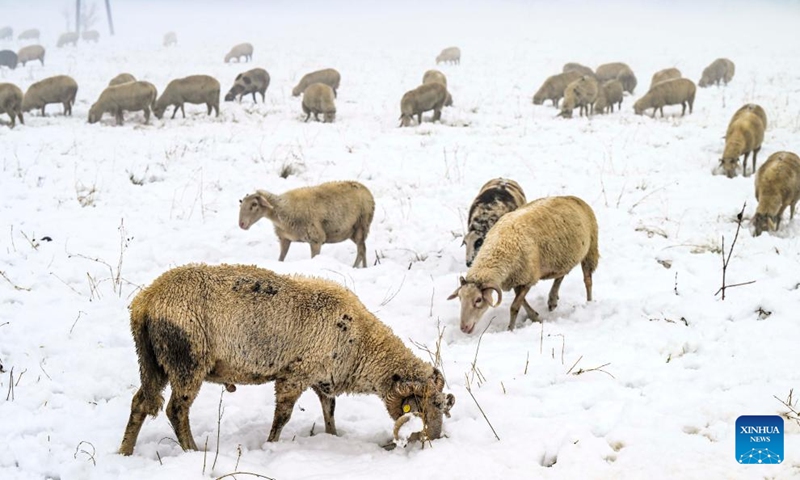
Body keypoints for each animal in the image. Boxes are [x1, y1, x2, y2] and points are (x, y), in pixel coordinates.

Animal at [119, 264, 456, 456]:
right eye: (425, 407)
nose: (434, 441)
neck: (363, 343)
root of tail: (146, 301)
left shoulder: (322, 378)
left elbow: (329, 411)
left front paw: (332, 437)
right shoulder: (294, 375)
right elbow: (283, 416)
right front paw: (271, 445)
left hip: (153, 362)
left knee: (140, 403)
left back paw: (125, 451)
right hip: (187, 360)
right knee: (176, 410)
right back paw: (191, 450)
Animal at [238, 181, 376, 270]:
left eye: (254, 204)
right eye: (241, 204)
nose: (241, 224)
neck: (281, 210)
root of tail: (366, 190)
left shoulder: (316, 239)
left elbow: (314, 258)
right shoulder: (285, 238)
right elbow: (281, 258)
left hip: (361, 225)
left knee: (361, 250)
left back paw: (355, 268)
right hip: (353, 231)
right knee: (363, 249)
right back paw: (364, 268)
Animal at [446, 195, 596, 334]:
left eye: (478, 300)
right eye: (460, 298)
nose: (464, 328)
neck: (499, 247)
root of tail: (573, 197)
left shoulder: (528, 278)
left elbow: (514, 306)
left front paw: (511, 329)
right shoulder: (516, 278)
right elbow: (522, 302)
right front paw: (535, 317)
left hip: (591, 249)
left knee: (587, 280)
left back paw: (589, 304)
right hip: (562, 258)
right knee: (561, 275)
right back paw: (552, 300)